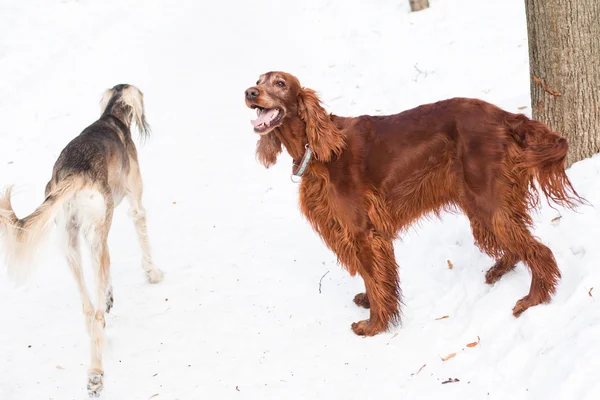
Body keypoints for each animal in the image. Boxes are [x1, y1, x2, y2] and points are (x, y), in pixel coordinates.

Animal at [244, 72, 580, 338]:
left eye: (280, 82)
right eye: (258, 80)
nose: (249, 92)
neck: (318, 148)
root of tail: (504, 116)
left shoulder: (362, 230)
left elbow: (373, 276)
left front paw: (374, 324)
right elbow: (373, 275)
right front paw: (372, 305)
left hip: (486, 197)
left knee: (538, 250)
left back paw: (534, 298)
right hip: (477, 199)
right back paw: (500, 269)